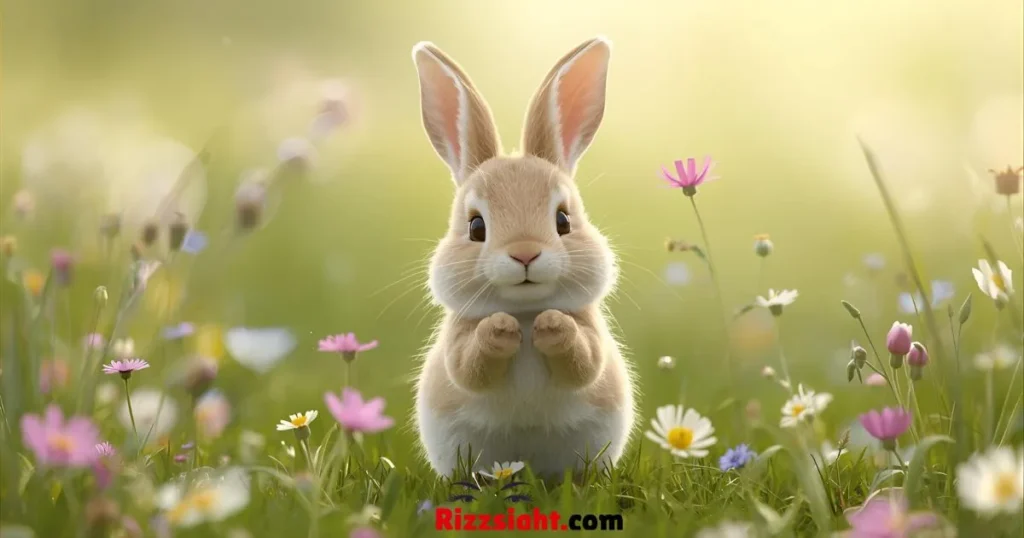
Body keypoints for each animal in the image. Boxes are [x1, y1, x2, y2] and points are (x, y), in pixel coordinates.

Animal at [411, 36, 636, 478]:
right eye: (476, 227)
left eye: (563, 220)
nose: (525, 253)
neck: (526, 308)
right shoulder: (458, 341)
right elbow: (469, 366)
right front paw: (500, 328)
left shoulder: (591, 334)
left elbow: (585, 360)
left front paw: (552, 324)